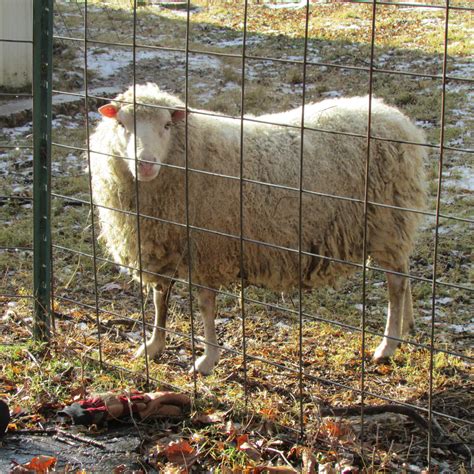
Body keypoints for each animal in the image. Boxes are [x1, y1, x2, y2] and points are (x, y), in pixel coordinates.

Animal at [89, 83, 426, 376]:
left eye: (168, 126)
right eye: (121, 124)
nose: (144, 164)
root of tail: (395, 117)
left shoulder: (208, 246)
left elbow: (206, 306)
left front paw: (207, 360)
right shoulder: (161, 245)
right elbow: (160, 300)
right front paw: (152, 345)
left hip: (387, 222)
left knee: (396, 284)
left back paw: (387, 345)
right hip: (394, 226)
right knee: (404, 275)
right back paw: (406, 327)